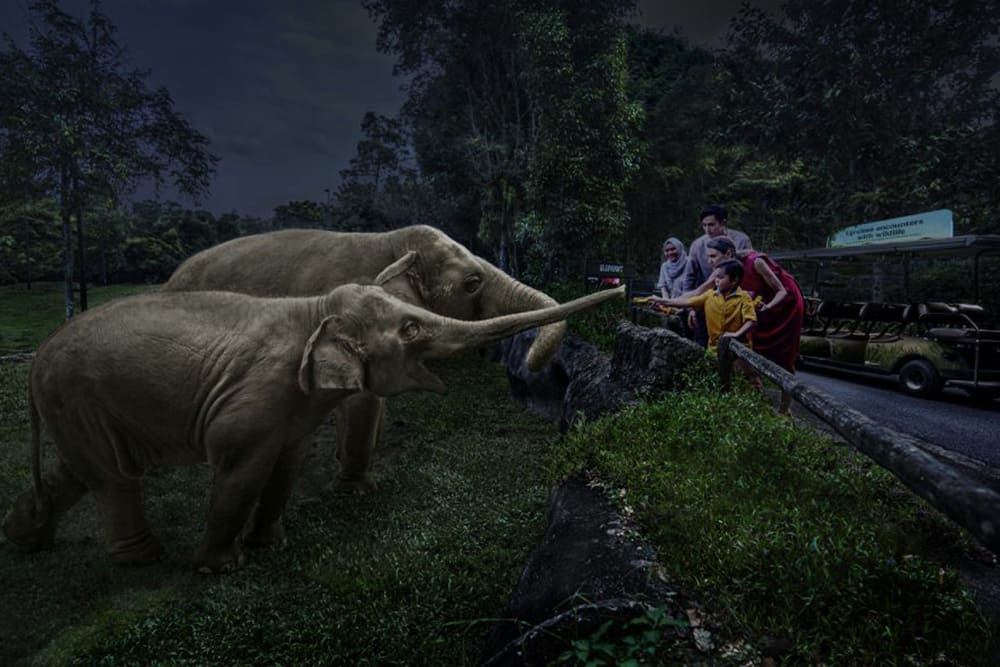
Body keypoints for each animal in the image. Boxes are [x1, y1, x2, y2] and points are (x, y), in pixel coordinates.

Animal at [1, 266, 624, 576]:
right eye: (412, 329)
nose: (619, 290)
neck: (314, 308)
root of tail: (37, 360)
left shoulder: (290, 408)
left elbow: (287, 462)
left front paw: (270, 546)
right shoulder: (254, 396)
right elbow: (239, 468)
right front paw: (221, 568)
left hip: (78, 405)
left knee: (82, 472)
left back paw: (25, 538)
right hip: (76, 395)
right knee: (113, 477)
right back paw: (144, 560)